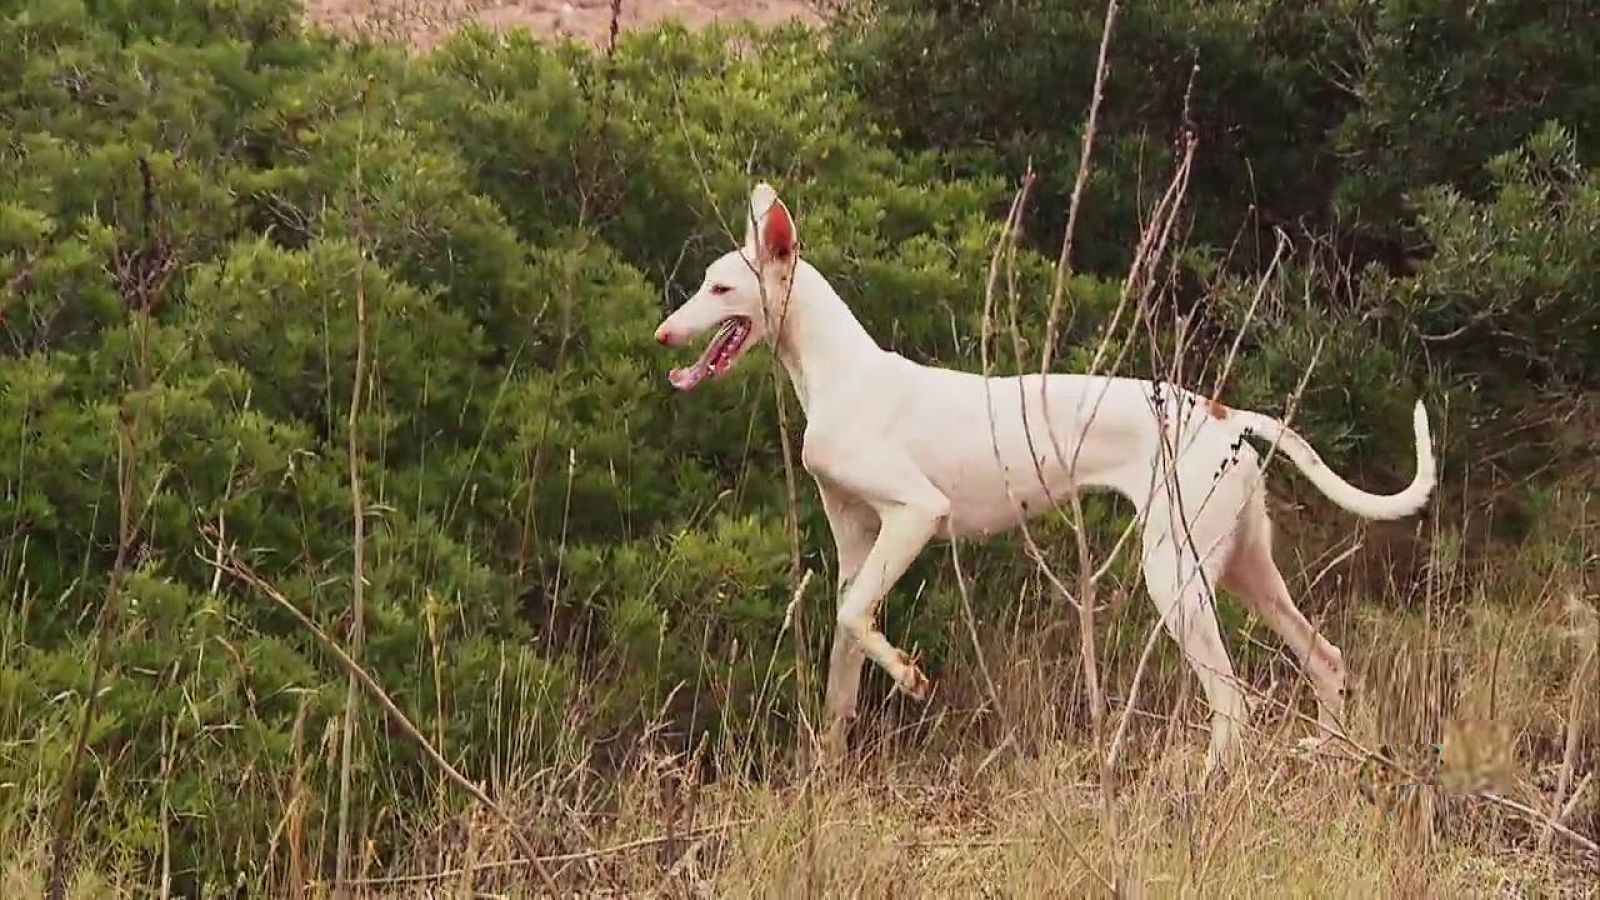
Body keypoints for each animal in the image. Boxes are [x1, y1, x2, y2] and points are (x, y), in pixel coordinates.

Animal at [652, 184, 1440, 771]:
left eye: (720, 288)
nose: (662, 336)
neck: (839, 372)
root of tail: (1223, 414)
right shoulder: (856, 542)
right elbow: (844, 654)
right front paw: (827, 771)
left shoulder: (916, 513)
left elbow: (854, 618)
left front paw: (908, 676)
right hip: (1244, 568)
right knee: (1326, 660)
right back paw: (1333, 754)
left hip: (1175, 580)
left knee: (1233, 704)